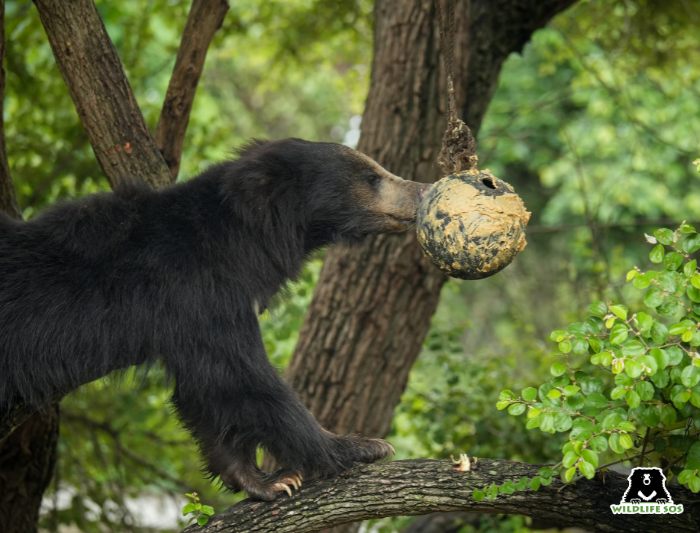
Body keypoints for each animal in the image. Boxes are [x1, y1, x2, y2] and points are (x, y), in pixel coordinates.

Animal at [0, 138, 430, 500]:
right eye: (372, 177)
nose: (422, 190)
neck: (242, 242)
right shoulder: (198, 294)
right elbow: (243, 378)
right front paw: (362, 446)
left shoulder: (187, 318)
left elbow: (205, 392)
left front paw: (264, 480)